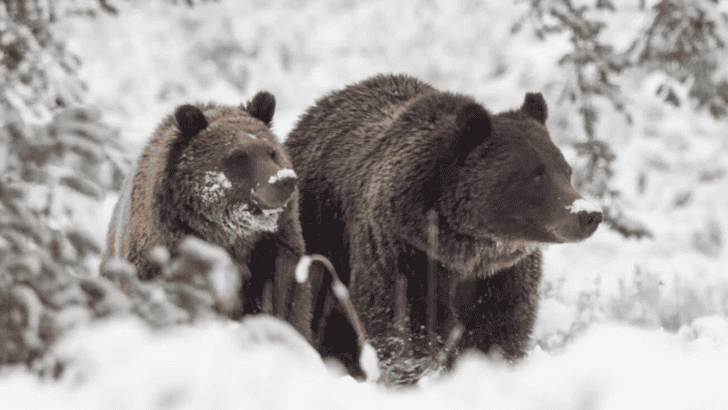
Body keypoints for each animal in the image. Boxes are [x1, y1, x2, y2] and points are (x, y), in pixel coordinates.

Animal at [284, 74, 603, 384]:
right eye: (535, 174)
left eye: (566, 170)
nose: (589, 214)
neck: (464, 252)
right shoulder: (403, 257)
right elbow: (404, 330)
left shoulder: (503, 278)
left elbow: (500, 334)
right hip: (318, 234)